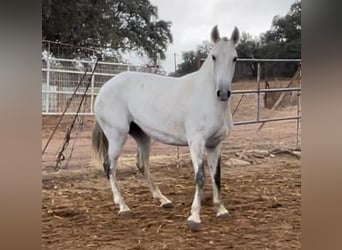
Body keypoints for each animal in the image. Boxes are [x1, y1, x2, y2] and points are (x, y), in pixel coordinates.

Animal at [92, 25, 239, 230]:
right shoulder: (196, 143)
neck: (208, 98)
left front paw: (221, 210)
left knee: (142, 165)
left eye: (234, 58)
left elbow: (216, 175)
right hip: (116, 136)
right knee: (109, 167)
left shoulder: (215, 144)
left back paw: (163, 200)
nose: (223, 93)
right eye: (214, 57)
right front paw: (194, 217)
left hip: (142, 136)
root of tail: (104, 88)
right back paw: (123, 207)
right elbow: (200, 177)